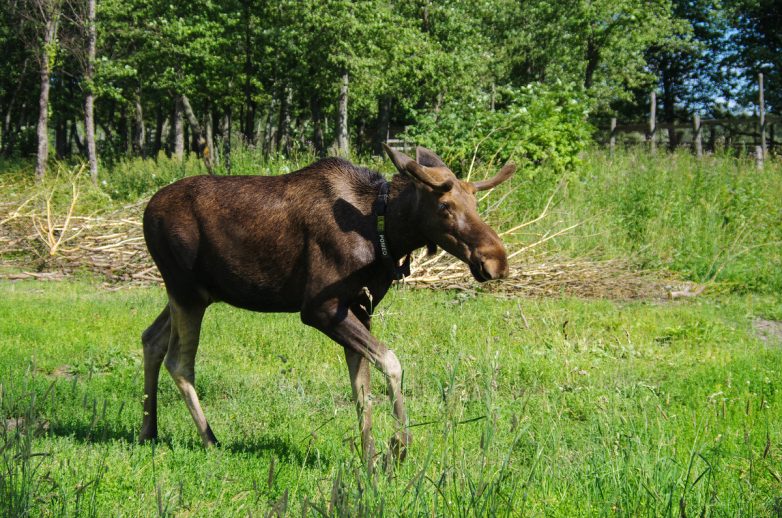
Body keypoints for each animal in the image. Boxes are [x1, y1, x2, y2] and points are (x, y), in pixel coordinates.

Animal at [142, 146, 516, 468]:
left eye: (475, 203)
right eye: (444, 207)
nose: (496, 261)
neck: (384, 233)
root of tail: (146, 211)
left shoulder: (362, 308)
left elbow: (361, 389)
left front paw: (370, 459)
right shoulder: (318, 308)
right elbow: (391, 362)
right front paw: (398, 448)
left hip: (196, 293)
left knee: (151, 338)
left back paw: (148, 431)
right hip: (186, 290)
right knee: (179, 361)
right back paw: (210, 440)